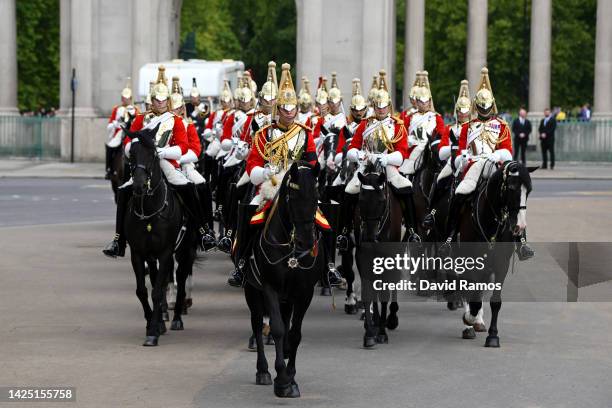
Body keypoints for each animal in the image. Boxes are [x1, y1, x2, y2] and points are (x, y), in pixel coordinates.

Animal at [125, 126, 198, 346]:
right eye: (131, 154)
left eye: (153, 154)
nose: (139, 186)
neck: (149, 210)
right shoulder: (138, 253)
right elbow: (143, 290)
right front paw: (153, 324)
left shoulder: (166, 252)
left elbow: (157, 291)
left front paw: (152, 333)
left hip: (185, 250)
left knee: (180, 278)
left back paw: (177, 319)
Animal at [245, 161, 330, 396]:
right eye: (293, 197)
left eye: (317, 196)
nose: (306, 243)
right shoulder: (269, 287)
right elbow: (277, 329)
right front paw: (282, 379)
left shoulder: (304, 293)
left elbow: (294, 334)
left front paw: (290, 376)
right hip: (253, 292)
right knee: (257, 324)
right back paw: (263, 371)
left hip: (287, 298)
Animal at [450, 161, 536, 346]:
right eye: (511, 187)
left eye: (529, 190)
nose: (520, 226)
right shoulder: (470, 263)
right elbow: (472, 297)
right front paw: (469, 319)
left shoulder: (501, 265)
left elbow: (494, 301)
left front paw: (493, 335)